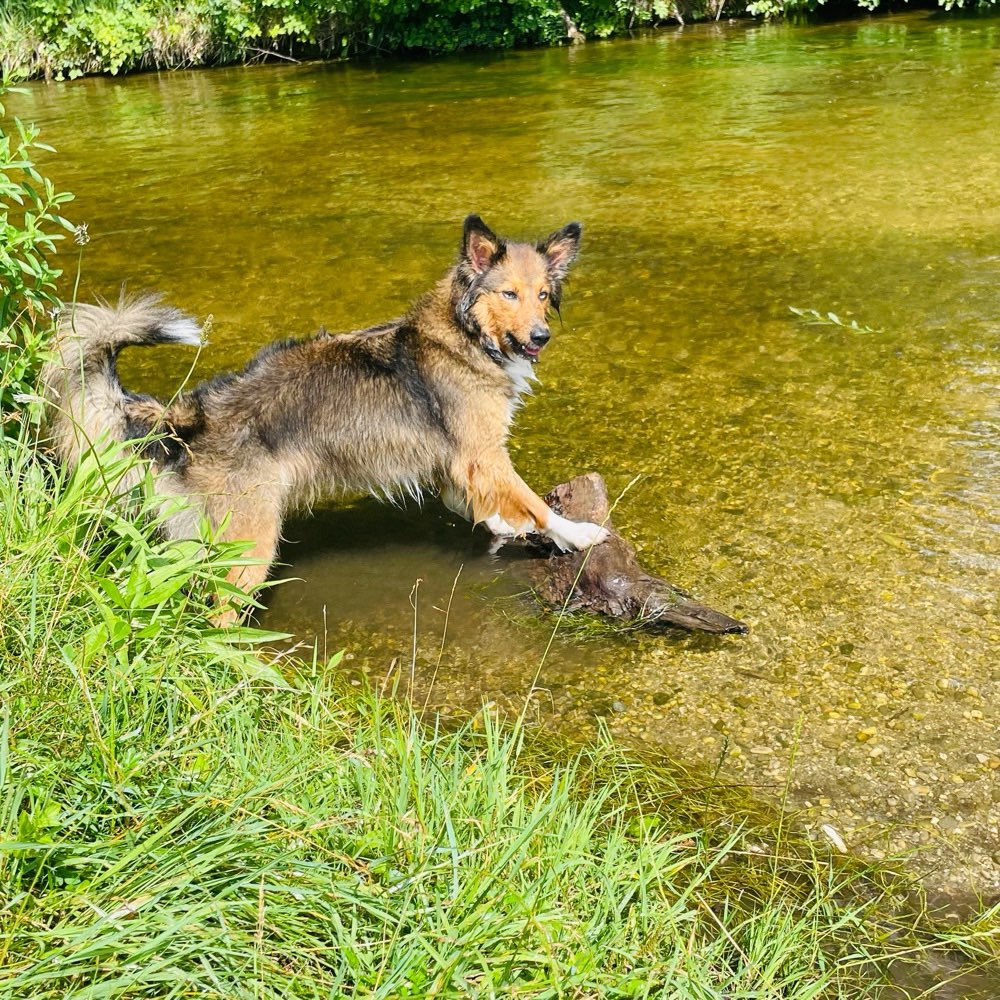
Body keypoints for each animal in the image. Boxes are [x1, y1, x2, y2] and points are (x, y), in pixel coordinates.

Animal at [43, 215, 608, 612]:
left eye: (542, 295)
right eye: (508, 293)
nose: (541, 336)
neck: (464, 337)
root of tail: (188, 419)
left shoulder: (454, 461)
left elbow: (476, 503)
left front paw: (502, 525)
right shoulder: (485, 453)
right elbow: (533, 502)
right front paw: (579, 533)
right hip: (250, 549)